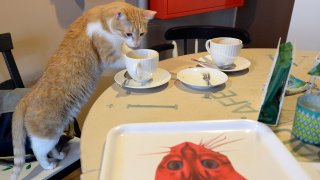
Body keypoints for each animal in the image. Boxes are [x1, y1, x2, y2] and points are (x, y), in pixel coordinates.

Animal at [12, 2, 156, 179]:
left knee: (51, 149)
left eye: (142, 33)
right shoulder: (109, 57)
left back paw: (59, 155)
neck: (102, 22)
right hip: (46, 136)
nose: (136, 44)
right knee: (38, 151)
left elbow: (125, 51)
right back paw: (48, 165)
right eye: (128, 33)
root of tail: (28, 95)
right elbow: (127, 59)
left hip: (55, 133)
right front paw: (136, 63)